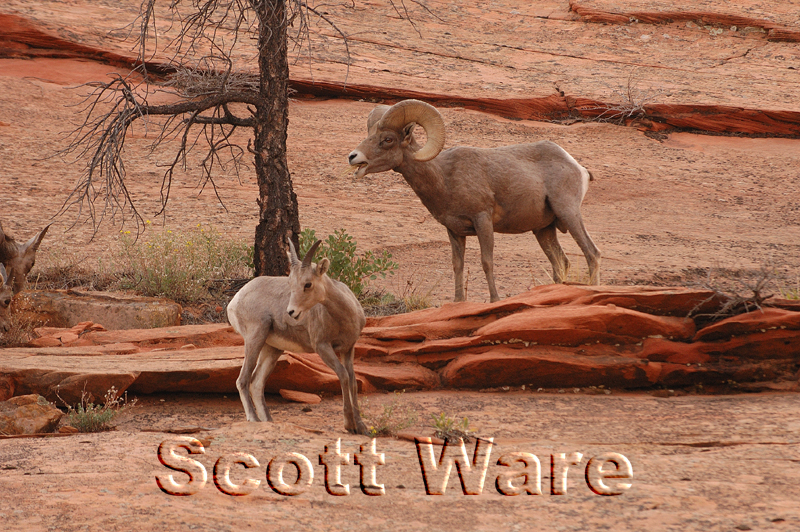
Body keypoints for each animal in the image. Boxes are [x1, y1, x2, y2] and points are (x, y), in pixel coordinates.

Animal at [226, 237, 369, 435]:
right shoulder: (322, 347)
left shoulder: (348, 349)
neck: (344, 316)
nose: (291, 312)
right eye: (290, 284)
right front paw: (349, 425)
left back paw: (269, 422)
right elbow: (343, 375)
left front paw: (362, 427)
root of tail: (234, 302)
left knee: (256, 383)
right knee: (243, 380)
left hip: (272, 349)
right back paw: (254, 420)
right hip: (255, 340)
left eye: (307, 284)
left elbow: (353, 380)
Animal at [348, 99, 601, 303]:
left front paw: (494, 300)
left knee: (592, 253)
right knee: (561, 263)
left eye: (387, 139)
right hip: (543, 230)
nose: (353, 157)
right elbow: (457, 265)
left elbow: (486, 261)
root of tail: (578, 167)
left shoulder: (483, 221)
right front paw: (458, 302)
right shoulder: (454, 231)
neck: (444, 178)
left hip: (568, 212)